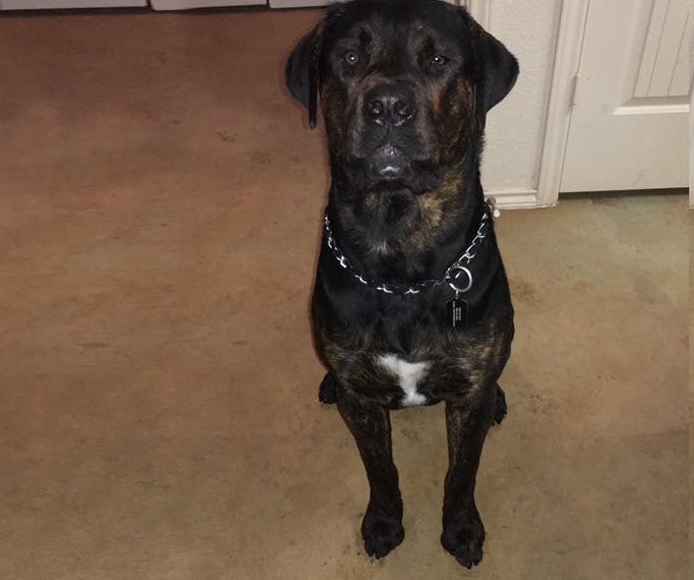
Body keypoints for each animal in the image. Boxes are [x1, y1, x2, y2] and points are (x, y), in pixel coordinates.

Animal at [286, 0, 520, 572]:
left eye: (437, 58)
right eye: (350, 57)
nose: (388, 105)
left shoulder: (468, 396)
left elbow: (461, 473)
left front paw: (461, 529)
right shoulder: (363, 402)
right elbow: (381, 468)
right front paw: (384, 522)